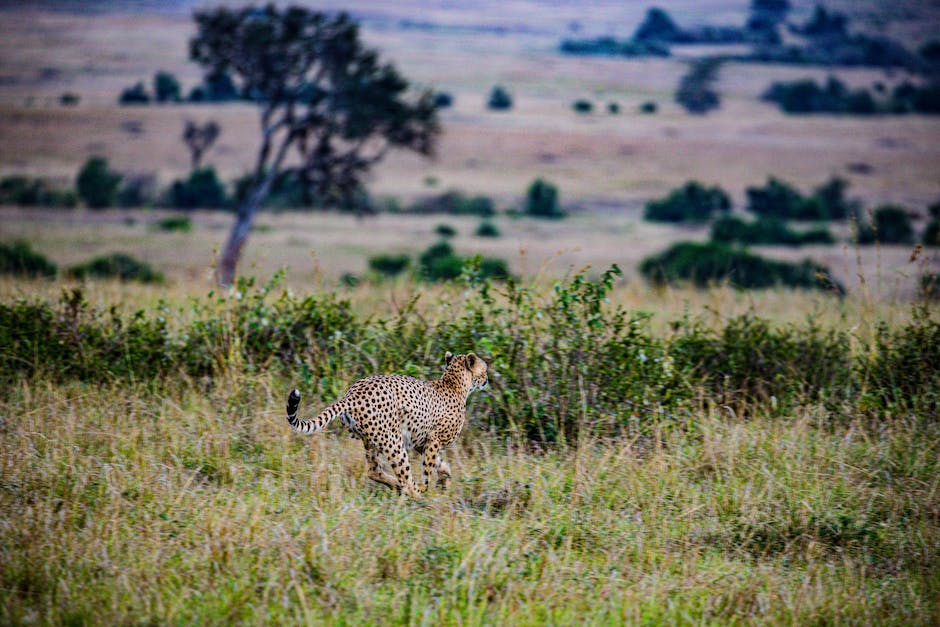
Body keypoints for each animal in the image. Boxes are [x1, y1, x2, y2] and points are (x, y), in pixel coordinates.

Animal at [284, 354, 488, 496]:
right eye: (484, 369)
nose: (487, 379)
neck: (454, 383)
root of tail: (353, 393)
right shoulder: (433, 439)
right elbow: (429, 467)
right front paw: (429, 484)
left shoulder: (422, 442)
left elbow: (437, 462)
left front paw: (445, 475)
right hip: (393, 441)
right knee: (405, 479)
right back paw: (416, 492)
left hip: (372, 440)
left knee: (374, 471)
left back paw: (397, 485)